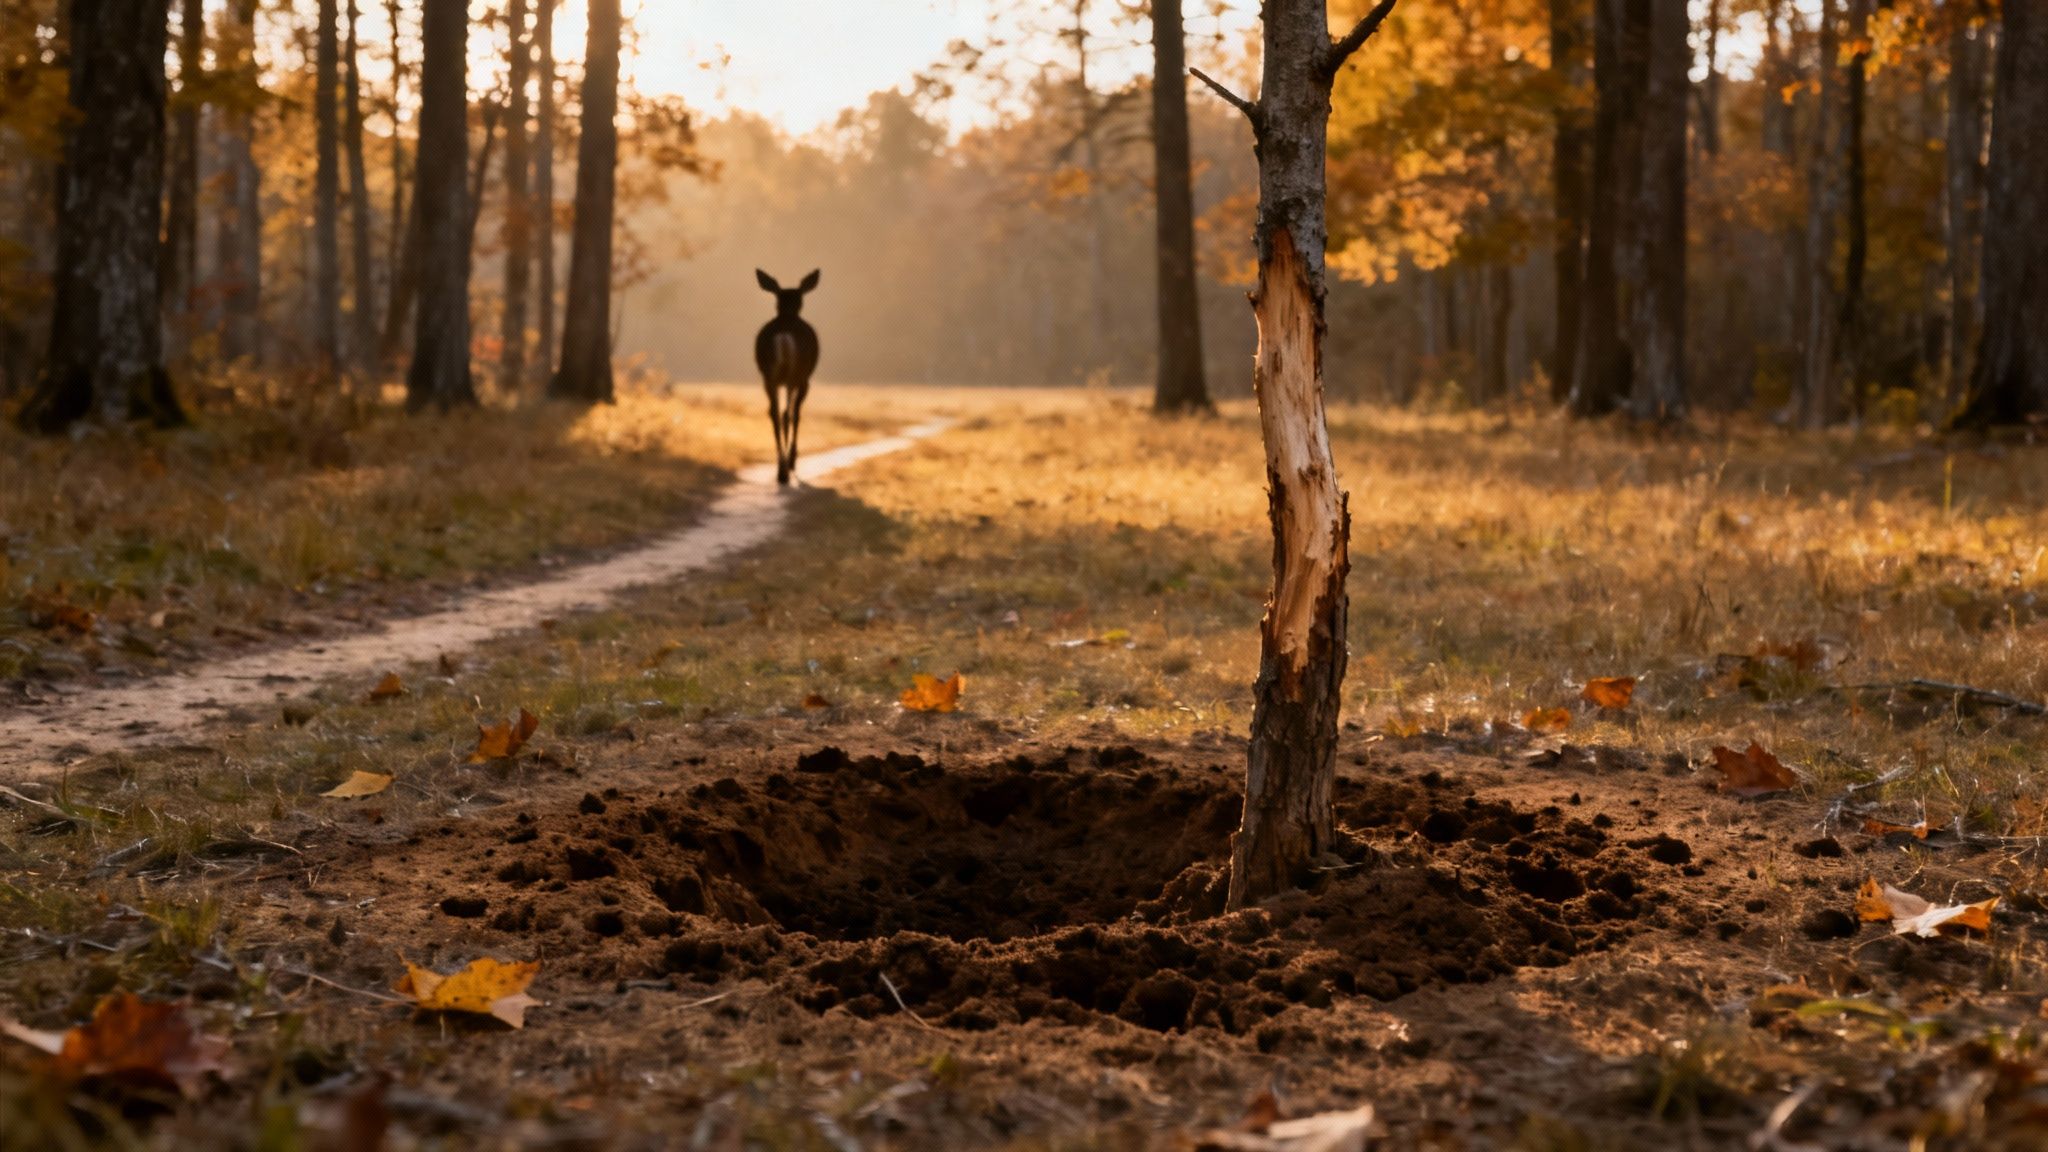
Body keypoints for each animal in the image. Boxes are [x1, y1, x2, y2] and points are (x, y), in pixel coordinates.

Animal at [754, 269, 821, 487]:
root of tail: (784, 336)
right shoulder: (803, 380)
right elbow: (795, 414)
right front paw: (793, 460)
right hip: (796, 375)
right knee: (787, 414)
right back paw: (785, 468)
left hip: (768, 376)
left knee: (774, 413)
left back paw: (780, 470)